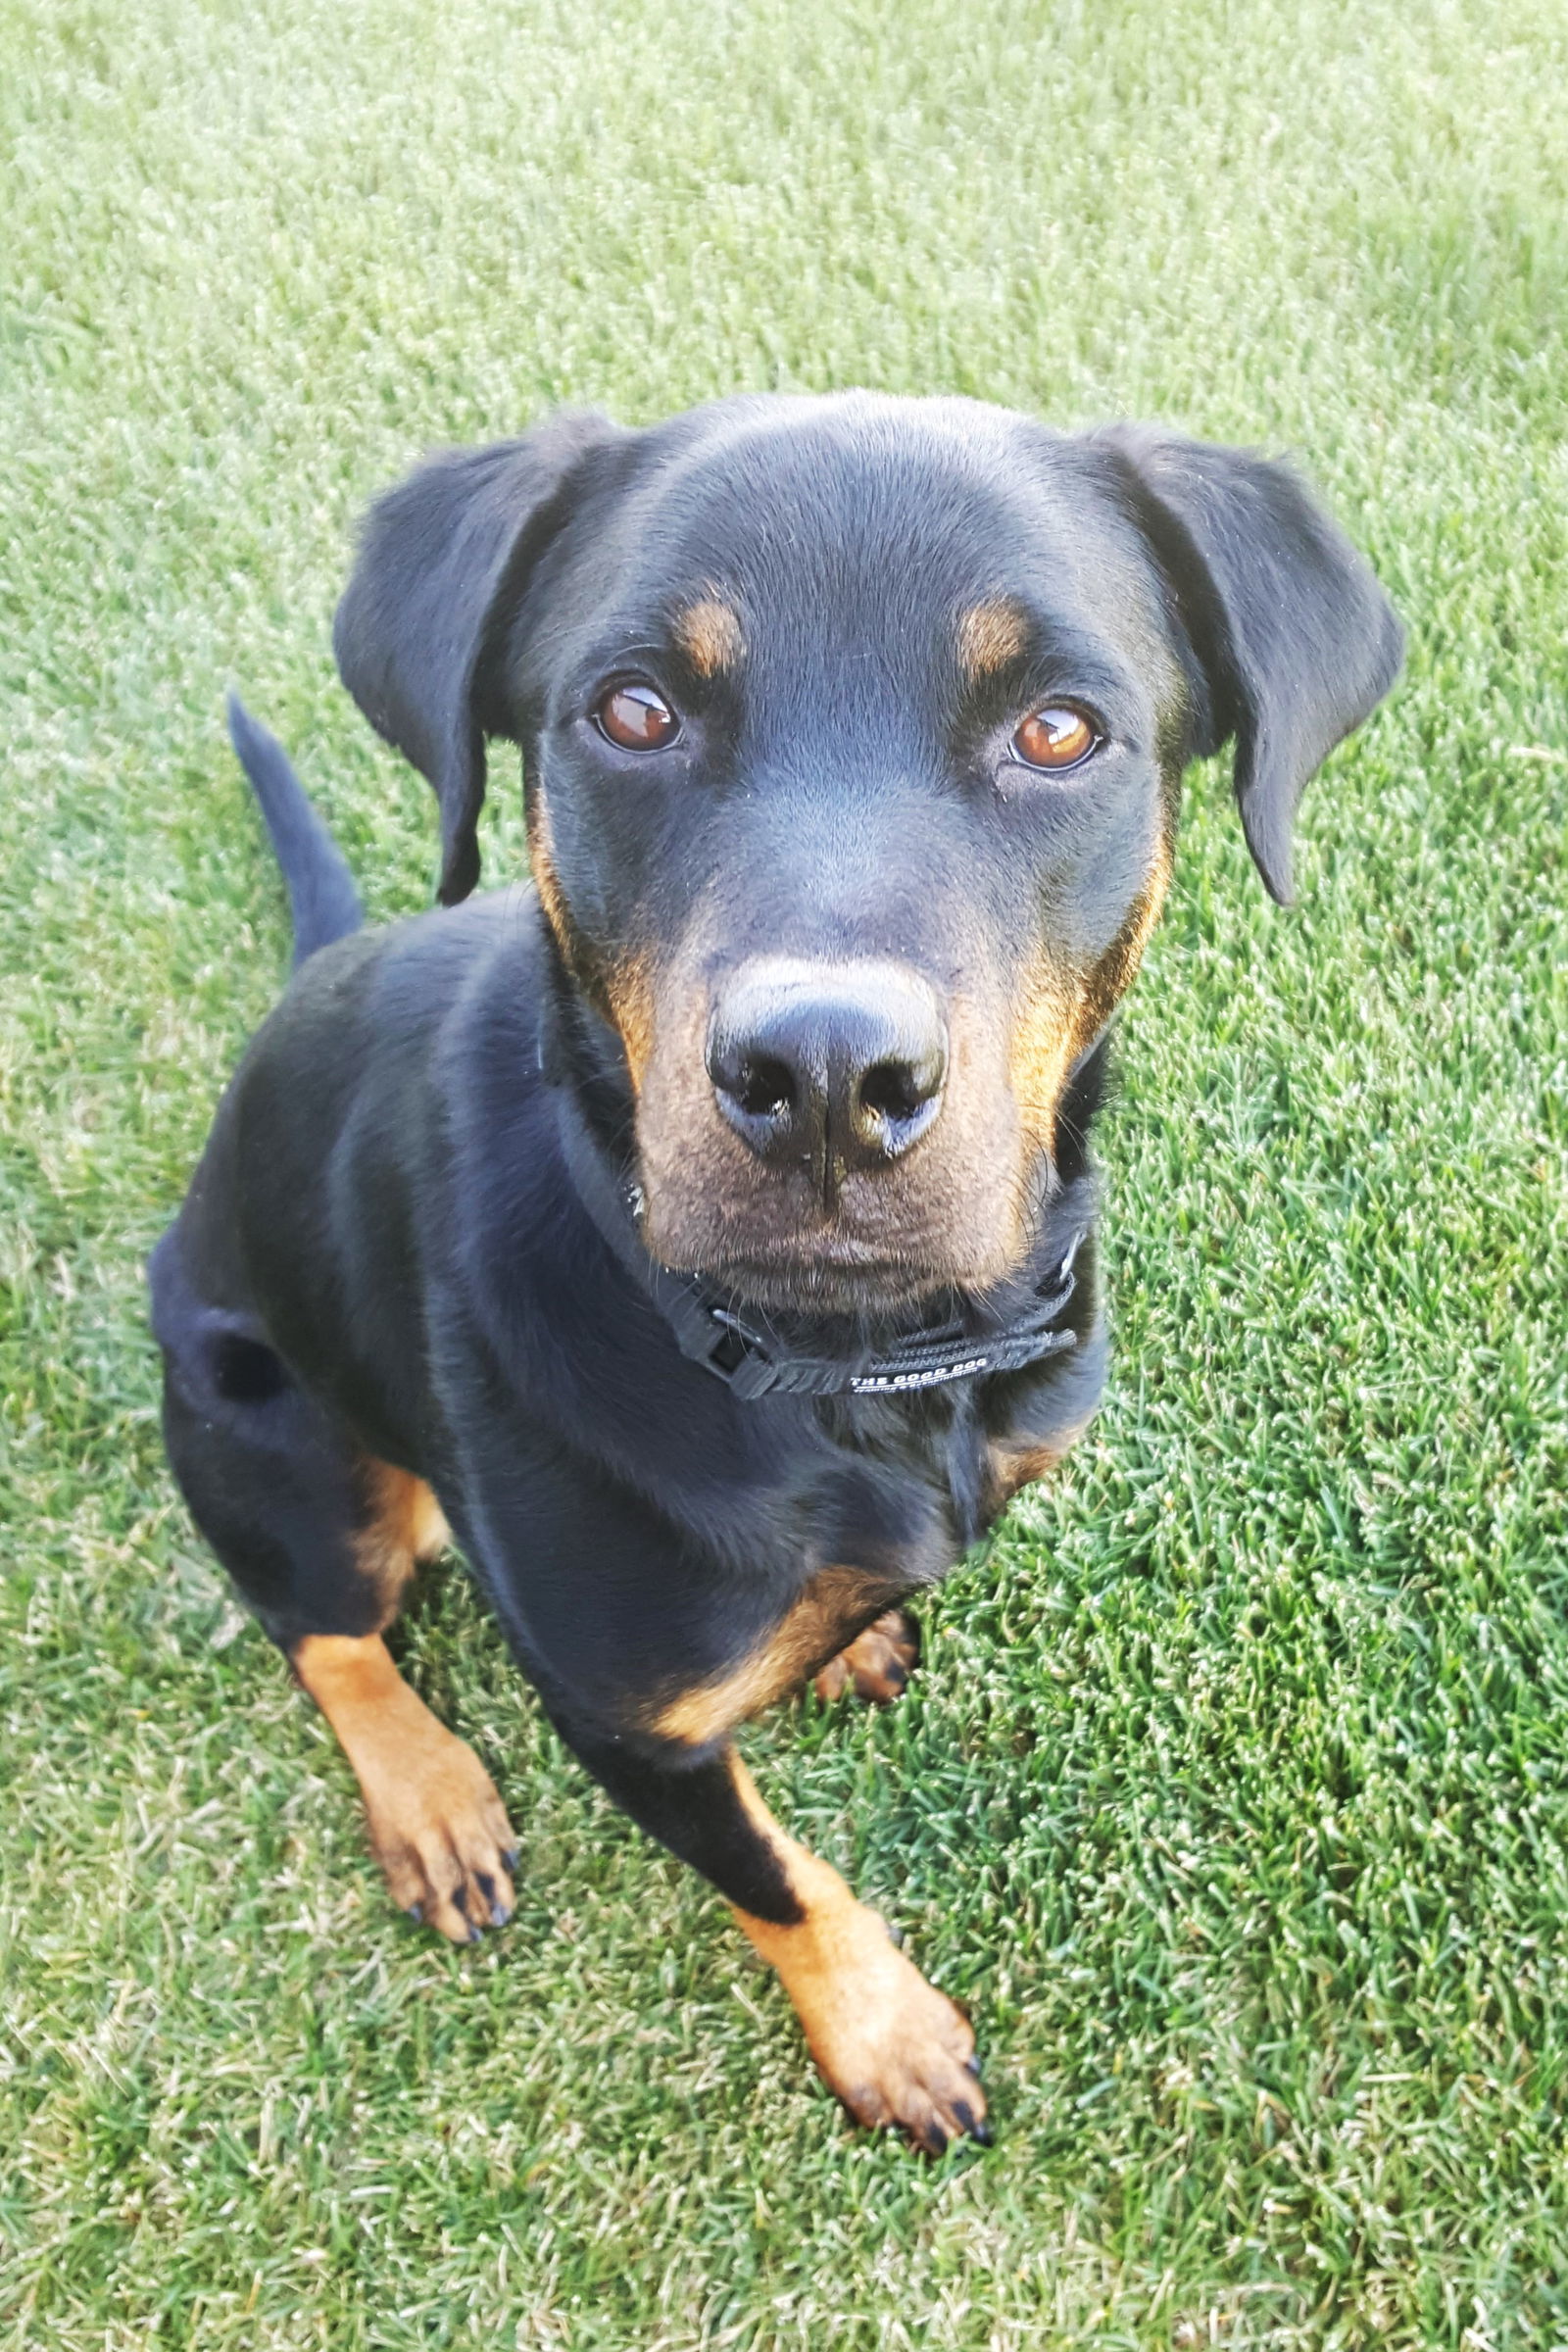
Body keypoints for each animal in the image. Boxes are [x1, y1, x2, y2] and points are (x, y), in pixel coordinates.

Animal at [146, 390, 1400, 2154]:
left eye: (1060, 731)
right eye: (635, 709)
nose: (823, 1079)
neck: (850, 1366)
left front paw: (858, 1628)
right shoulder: (631, 1725)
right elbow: (780, 1883)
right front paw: (885, 2034)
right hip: (276, 1434)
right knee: (323, 1629)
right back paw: (432, 1796)